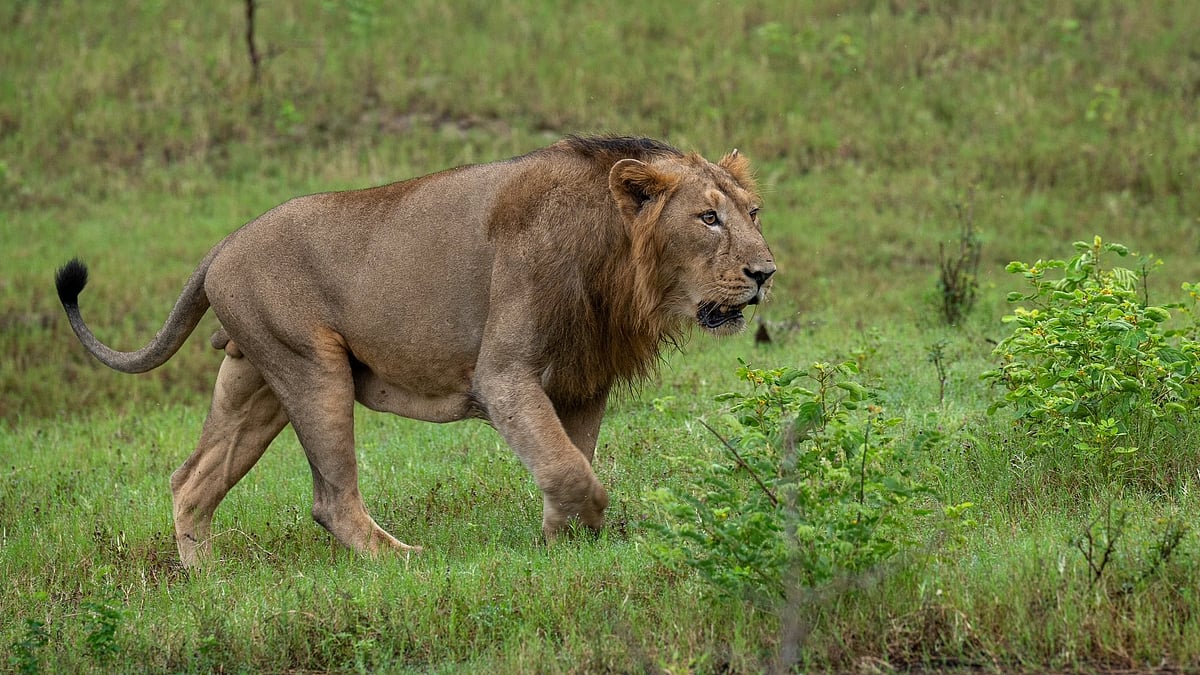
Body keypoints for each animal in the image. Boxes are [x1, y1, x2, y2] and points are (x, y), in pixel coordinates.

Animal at [55, 135, 775, 567]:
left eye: (753, 213)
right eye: (707, 217)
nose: (766, 271)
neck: (617, 258)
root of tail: (222, 244)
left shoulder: (581, 379)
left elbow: (572, 460)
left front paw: (564, 542)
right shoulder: (503, 374)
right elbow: (572, 469)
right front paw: (571, 535)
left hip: (256, 379)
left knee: (191, 480)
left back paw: (205, 581)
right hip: (312, 367)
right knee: (331, 501)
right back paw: (406, 562)